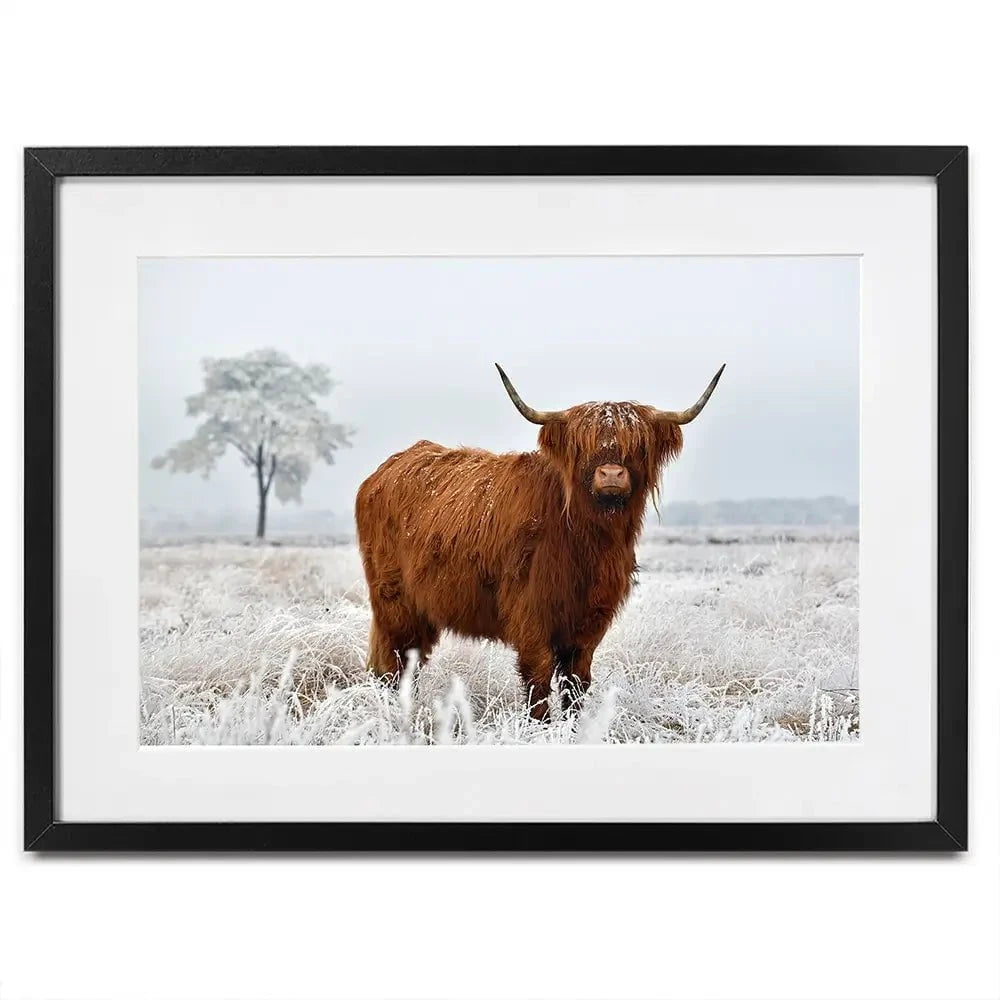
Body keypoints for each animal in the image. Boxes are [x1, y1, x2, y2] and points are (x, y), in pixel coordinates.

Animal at [355, 363, 724, 719]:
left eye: (638, 445)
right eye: (582, 445)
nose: (611, 474)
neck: (588, 542)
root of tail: (385, 470)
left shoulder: (591, 619)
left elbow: (577, 681)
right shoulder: (530, 611)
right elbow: (539, 676)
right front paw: (541, 726)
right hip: (395, 603)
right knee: (395, 663)